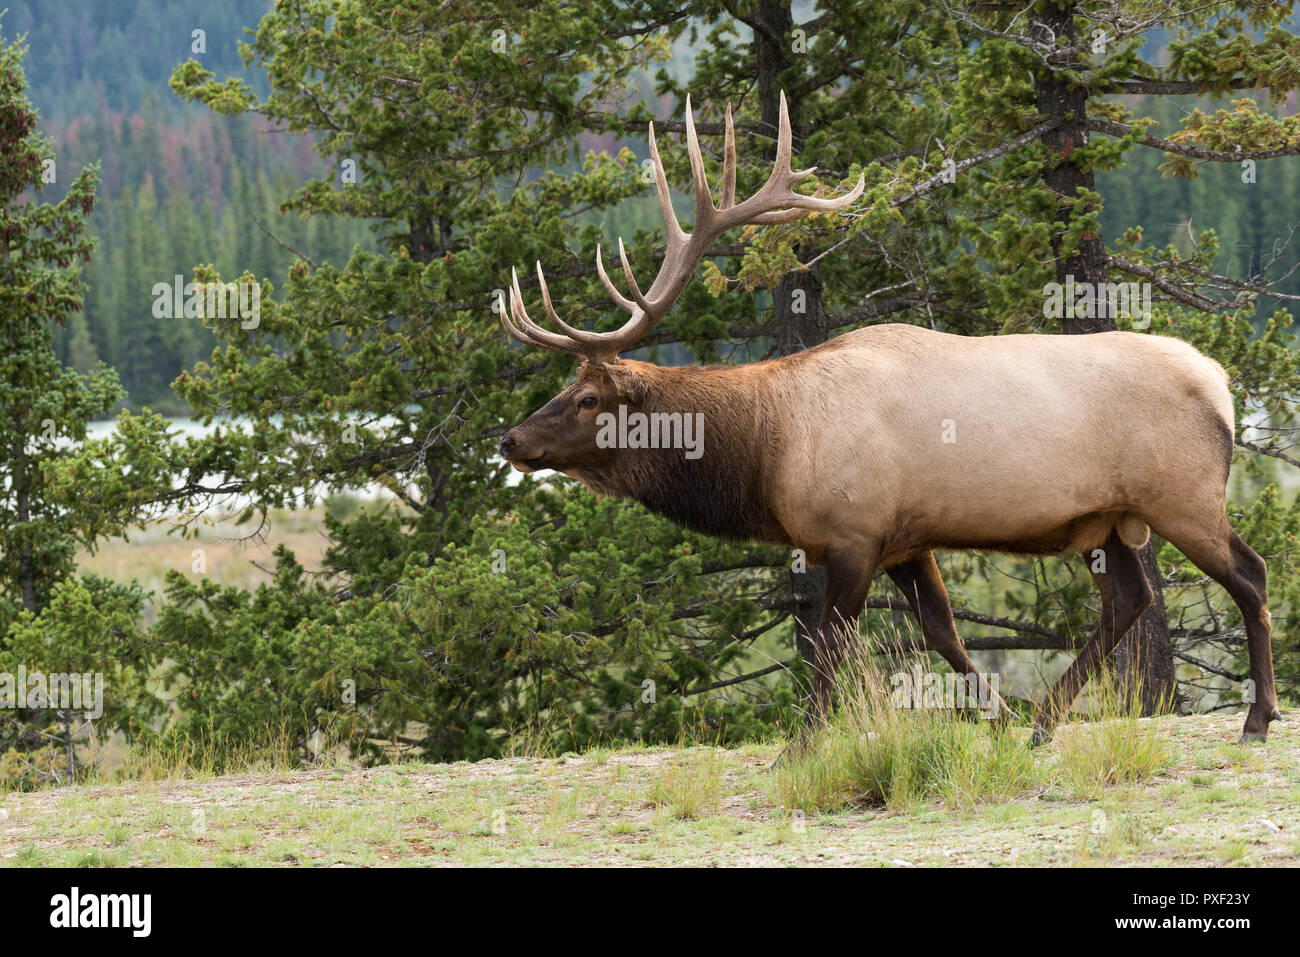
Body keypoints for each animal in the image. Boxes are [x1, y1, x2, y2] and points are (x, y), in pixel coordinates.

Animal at [493, 89, 1279, 748]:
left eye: (588, 397)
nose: (511, 438)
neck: (771, 453)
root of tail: (1223, 384)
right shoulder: (905, 540)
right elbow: (944, 634)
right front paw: (997, 717)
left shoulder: (853, 534)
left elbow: (830, 649)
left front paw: (801, 748)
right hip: (1108, 519)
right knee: (1131, 598)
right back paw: (1044, 720)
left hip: (1183, 495)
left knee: (1249, 573)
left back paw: (1257, 717)